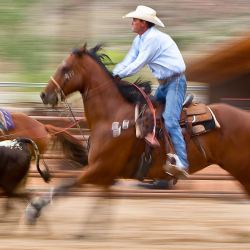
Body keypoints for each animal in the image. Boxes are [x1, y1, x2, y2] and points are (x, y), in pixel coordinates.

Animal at [25, 45, 250, 225]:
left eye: (65, 68)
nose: (44, 95)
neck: (112, 117)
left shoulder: (98, 168)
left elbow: (67, 186)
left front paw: (34, 210)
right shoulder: (106, 173)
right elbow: (103, 200)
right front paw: (90, 232)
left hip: (241, 169)